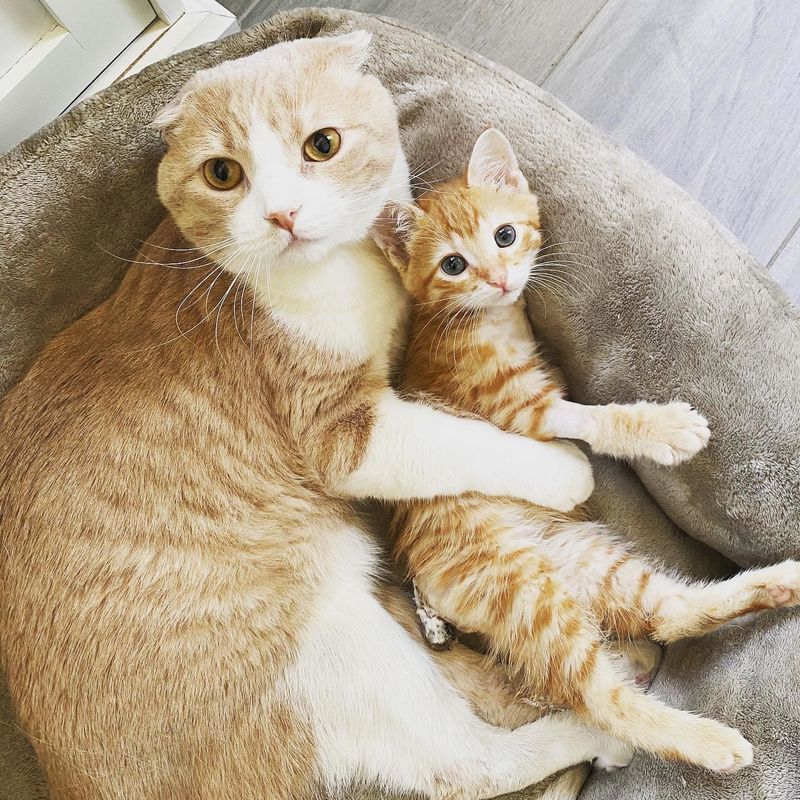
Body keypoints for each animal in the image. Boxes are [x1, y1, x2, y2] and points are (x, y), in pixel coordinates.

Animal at [0, 32, 624, 800]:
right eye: (223, 174)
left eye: (321, 145)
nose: (283, 215)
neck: (349, 274)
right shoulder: (347, 435)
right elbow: (461, 441)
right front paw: (564, 469)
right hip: (335, 647)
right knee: (468, 766)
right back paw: (604, 737)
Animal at [378, 126, 800, 776]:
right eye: (453, 264)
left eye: (504, 235)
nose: (499, 279)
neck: (480, 319)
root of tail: (420, 585)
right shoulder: (512, 413)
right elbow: (592, 417)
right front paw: (666, 429)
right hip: (529, 600)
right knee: (598, 699)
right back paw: (709, 742)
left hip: (586, 560)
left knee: (667, 616)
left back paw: (779, 583)